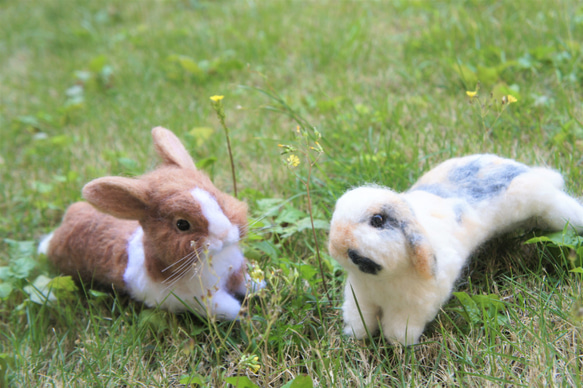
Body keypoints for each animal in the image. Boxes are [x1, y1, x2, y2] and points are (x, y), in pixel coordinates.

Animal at [38, 127, 262, 322]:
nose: (225, 235)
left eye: (220, 200)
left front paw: (260, 286)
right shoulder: (201, 299)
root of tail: (67, 221)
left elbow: (246, 281)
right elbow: (226, 306)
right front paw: (245, 316)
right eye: (182, 224)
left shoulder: (235, 271)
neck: (215, 258)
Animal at [328, 153, 583, 344]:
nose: (336, 242)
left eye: (378, 220)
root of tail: (526, 170)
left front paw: (399, 346)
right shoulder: (360, 297)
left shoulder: (412, 309)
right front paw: (355, 336)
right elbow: (360, 320)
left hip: (551, 207)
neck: (381, 281)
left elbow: (399, 329)